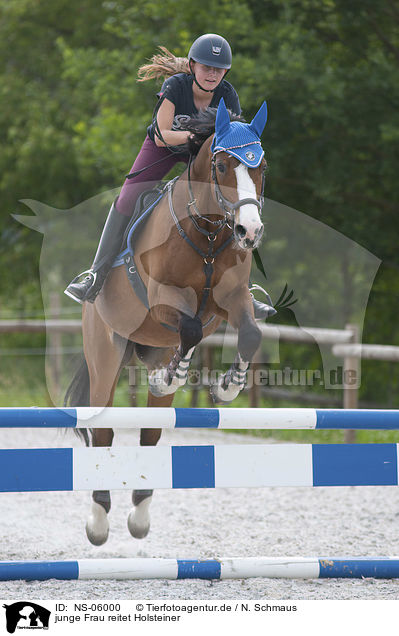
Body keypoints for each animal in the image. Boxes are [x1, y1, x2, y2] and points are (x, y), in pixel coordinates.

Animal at [65, 97, 268, 544]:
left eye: (261, 166)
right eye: (222, 165)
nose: (249, 231)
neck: (207, 230)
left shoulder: (231, 300)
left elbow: (250, 332)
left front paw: (227, 387)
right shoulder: (162, 301)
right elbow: (189, 328)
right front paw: (173, 376)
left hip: (153, 351)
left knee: (151, 431)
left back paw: (139, 515)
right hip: (105, 356)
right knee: (103, 430)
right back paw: (98, 519)